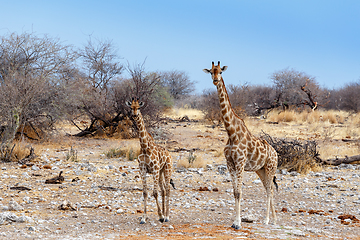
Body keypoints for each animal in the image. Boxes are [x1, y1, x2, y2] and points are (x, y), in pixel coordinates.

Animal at [202, 61, 278, 230]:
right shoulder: (230, 163)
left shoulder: (240, 163)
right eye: (211, 71)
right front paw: (234, 221)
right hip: (260, 170)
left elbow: (239, 192)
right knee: (268, 188)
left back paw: (267, 220)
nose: (215, 80)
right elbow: (234, 192)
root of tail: (276, 153)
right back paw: (274, 219)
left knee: (270, 190)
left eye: (221, 72)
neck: (231, 133)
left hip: (271, 167)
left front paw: (237, 223)